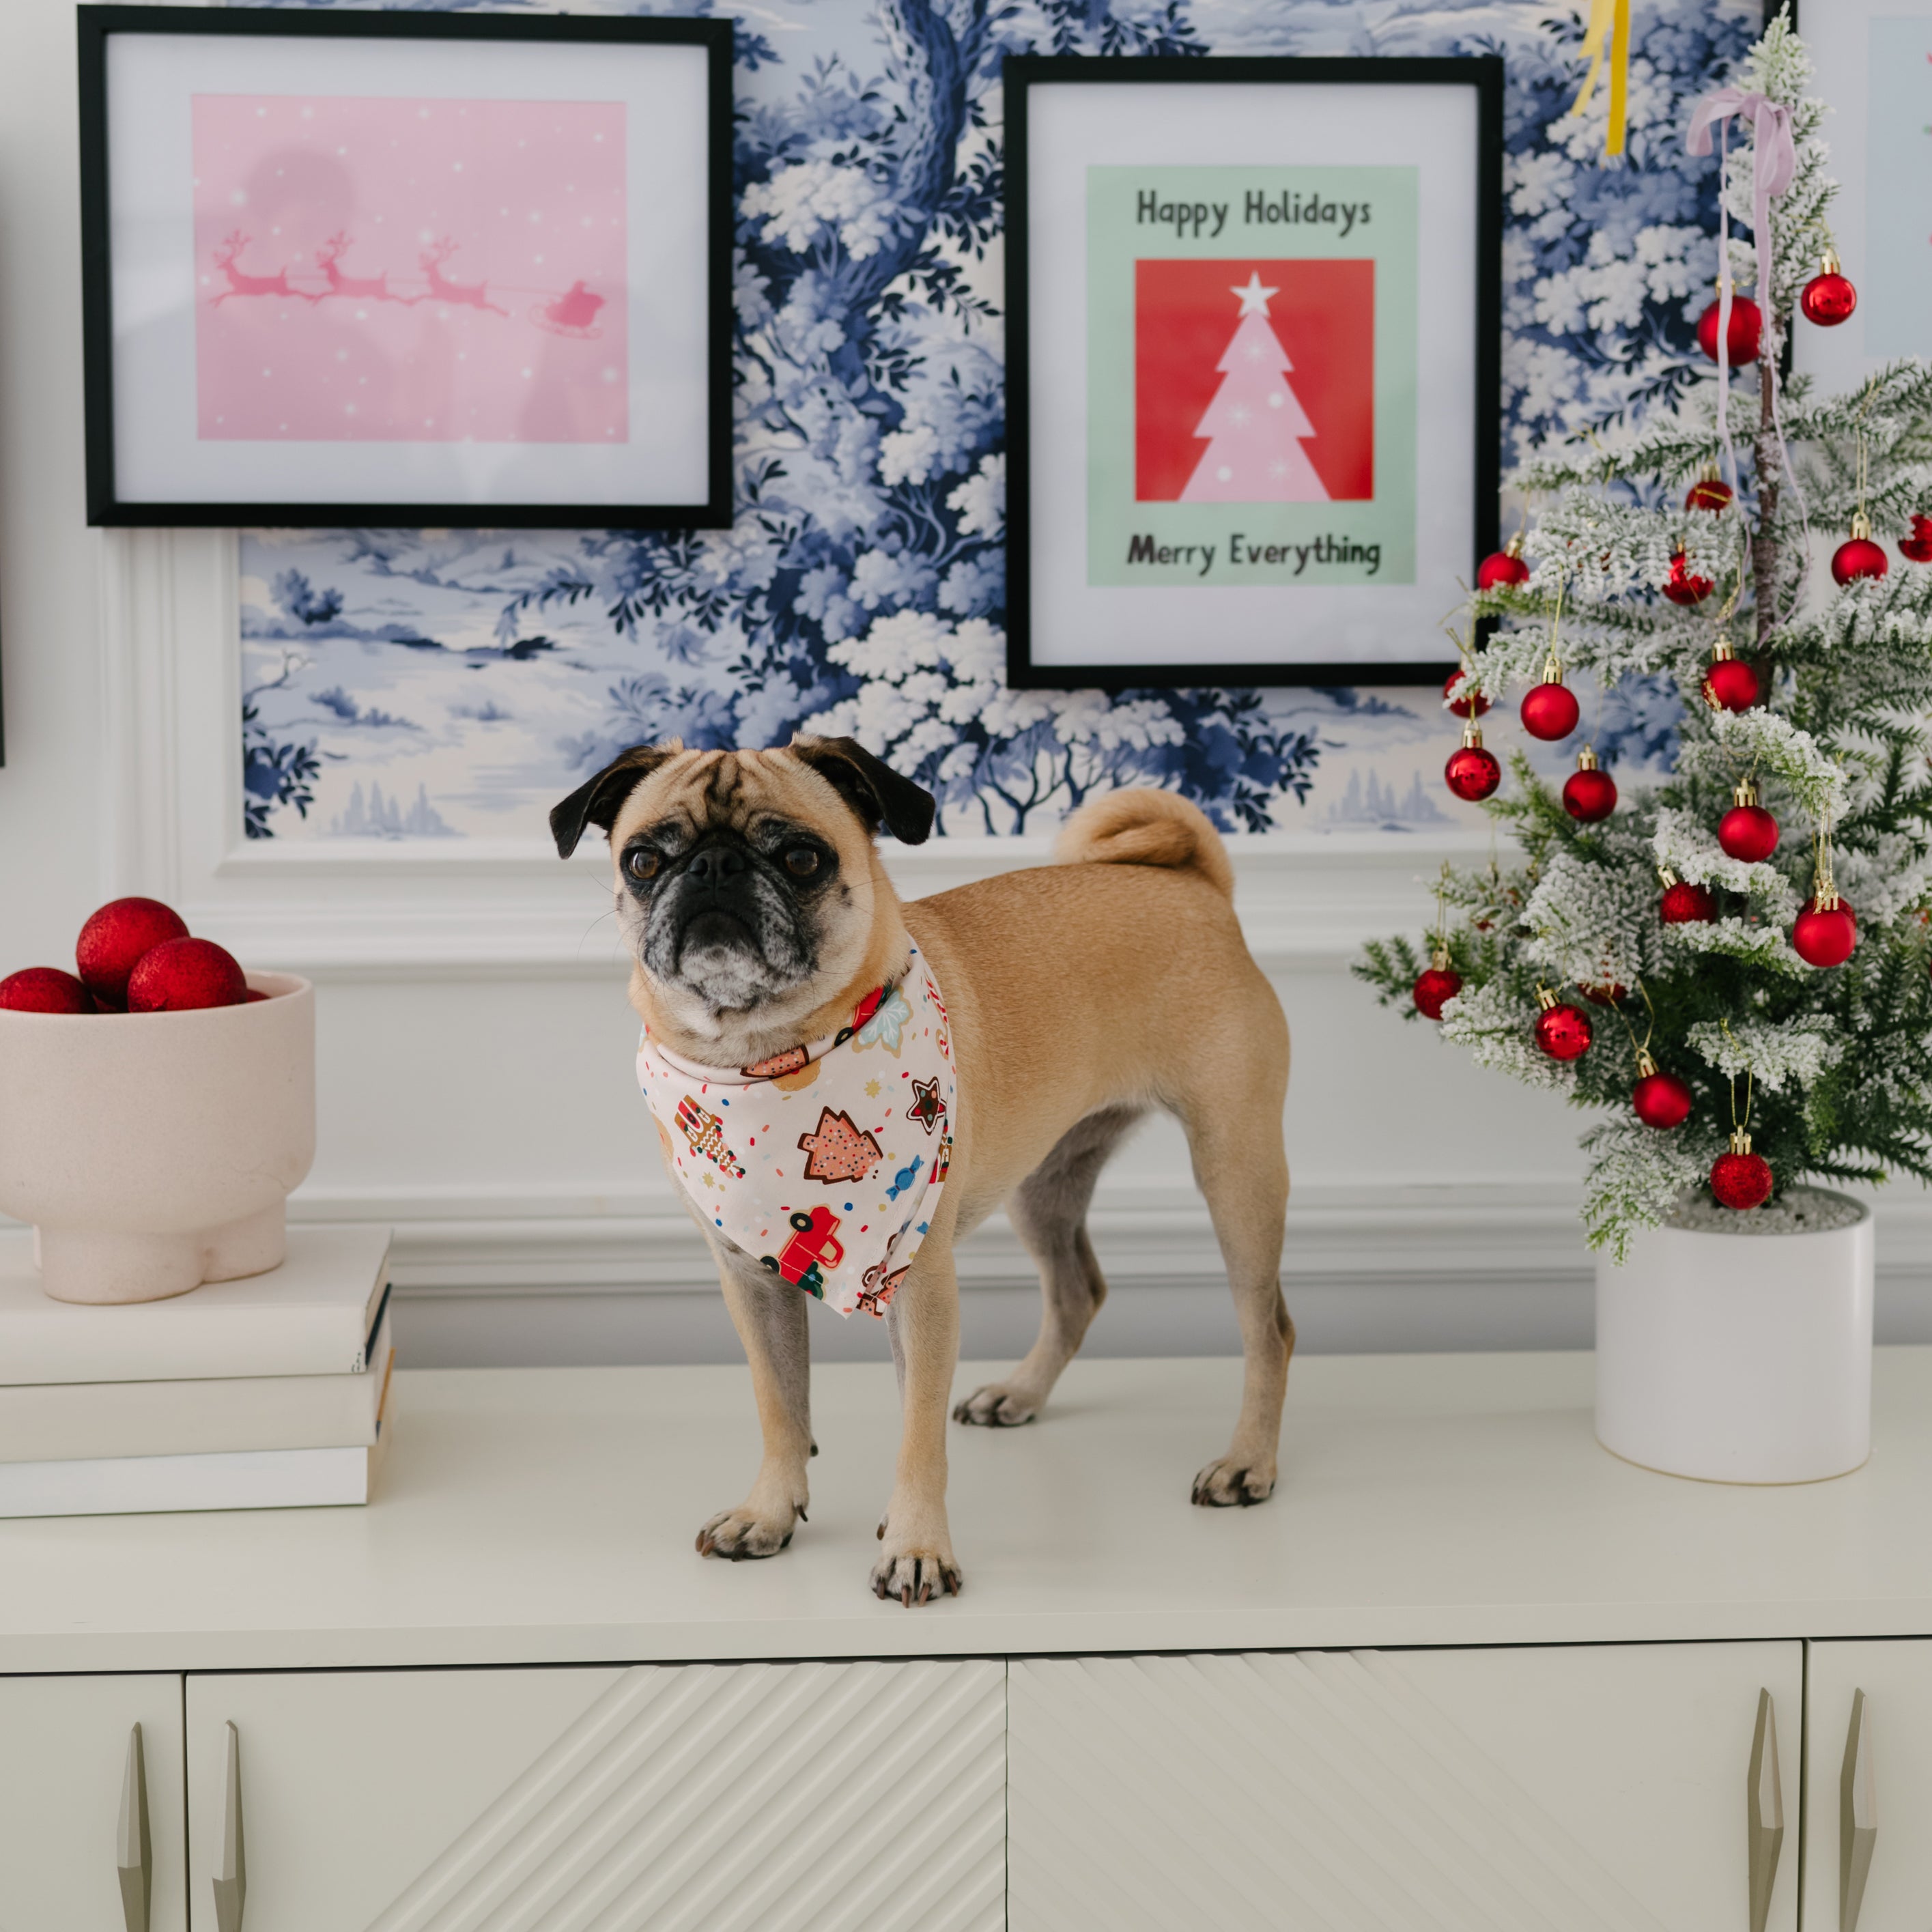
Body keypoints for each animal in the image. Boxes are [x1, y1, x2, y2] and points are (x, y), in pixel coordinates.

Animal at [552, 730, 1290, 1607]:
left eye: (801, 857)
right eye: (643, 860)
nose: (714, 867)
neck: (763, 1058)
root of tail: (1193, 884)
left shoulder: (920, 1282)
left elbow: (917, 1429)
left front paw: (913, 1545)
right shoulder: (752, 1280)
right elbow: (781, 1404)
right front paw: (770, 1510)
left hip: (1235, 1168)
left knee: (1268, 1329)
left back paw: (1247, 1463)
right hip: (1045, 1184)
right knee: (1077, 1290)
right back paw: (1019, 1393)